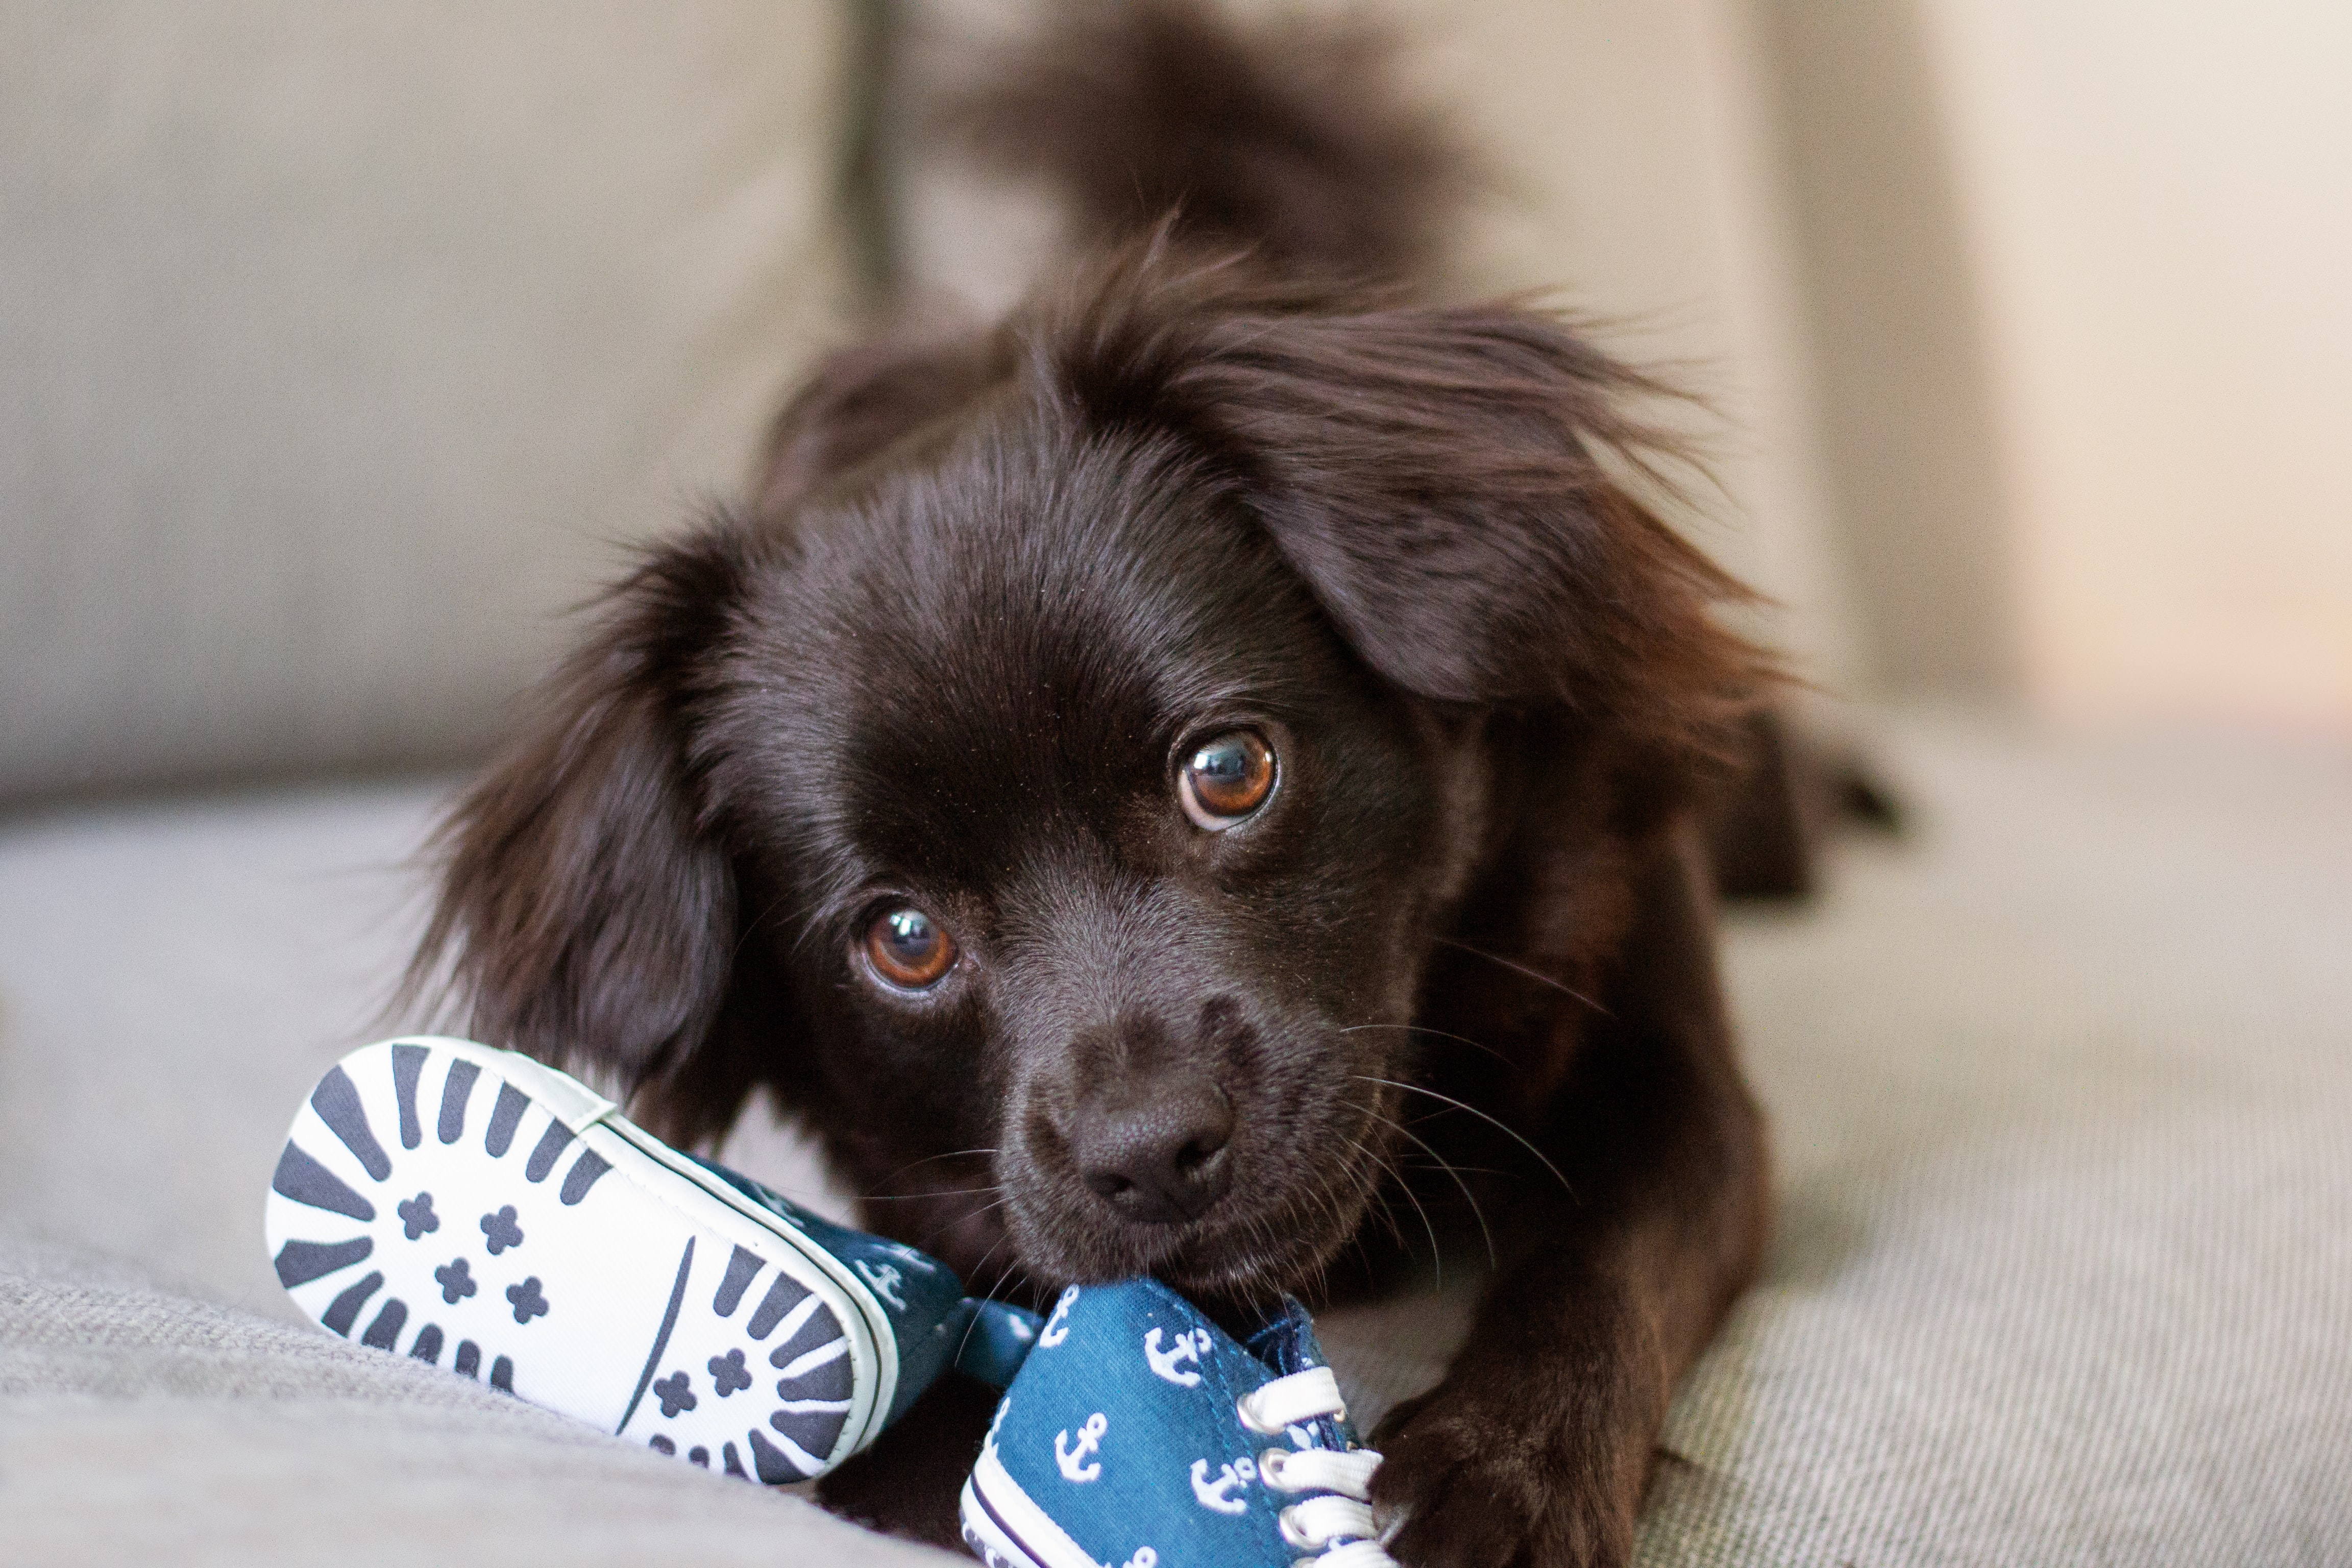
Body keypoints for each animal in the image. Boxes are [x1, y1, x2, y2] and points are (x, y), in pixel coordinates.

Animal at [409, 6, 1769, 1561]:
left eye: (1229, 771)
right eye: (903, 936)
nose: (1150, 1150)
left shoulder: (1675, 1060)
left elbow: (1609, 1252)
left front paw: (1505, 1469)